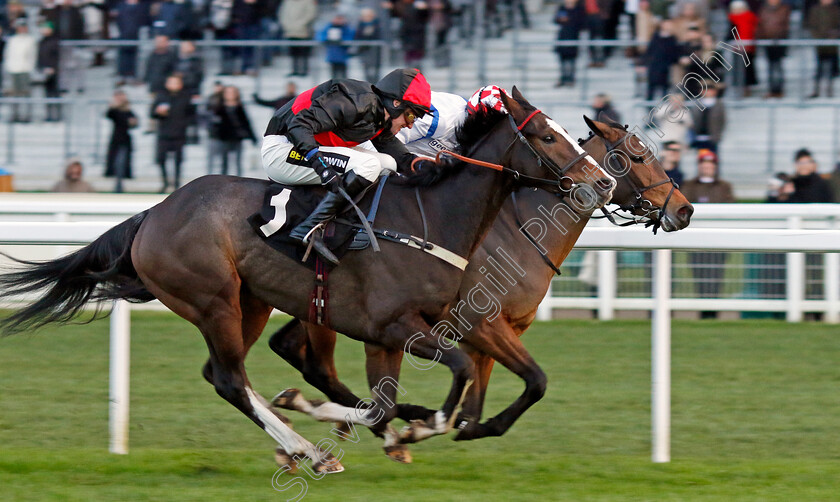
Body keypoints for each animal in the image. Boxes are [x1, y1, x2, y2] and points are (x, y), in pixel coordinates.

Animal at [0, 87, 616, 474]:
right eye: (546, 136)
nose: (603, 182)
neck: (433, 219)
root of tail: (153, 212)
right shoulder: (399, 325)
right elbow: (452, 378)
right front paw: (417, 427)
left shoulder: (406, 331)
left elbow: (387, 402)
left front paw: (399, 427)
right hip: (212, 299)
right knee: (231, 379)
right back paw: (310, 451)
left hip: (247, 302)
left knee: (225, 374)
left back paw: (304, 445)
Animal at [266, 117, 692, 458]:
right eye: (640, 156)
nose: (685, 209)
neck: (521, 233)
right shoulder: (480, 323)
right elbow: (534, 383)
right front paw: (442, 425)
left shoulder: (492, 333)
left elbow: (475, 407)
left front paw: (456, 425)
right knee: (320, 366)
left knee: (288, 346)